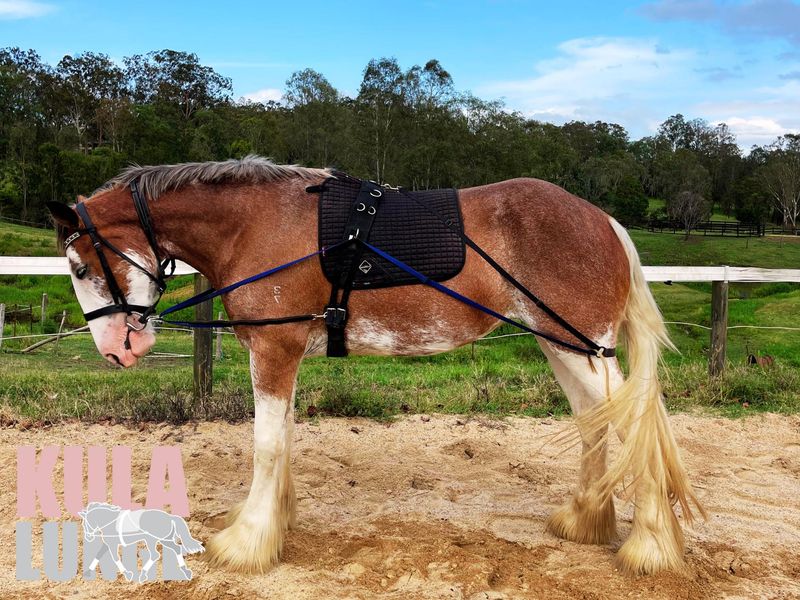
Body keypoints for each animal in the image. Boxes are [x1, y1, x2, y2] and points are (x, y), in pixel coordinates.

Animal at [48, 156, 703, 576]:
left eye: (80, 267)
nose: (116, 351)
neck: (258, 224)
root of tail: (603, 220)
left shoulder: (274, 351)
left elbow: (266, 443)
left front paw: (249, 541)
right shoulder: (283, 354)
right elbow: (284, 437)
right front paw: (276, 519)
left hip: (580, 346)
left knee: (637, 427)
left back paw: (649, 546)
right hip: (563, 346)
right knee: (596, 421)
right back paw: (587, 520)